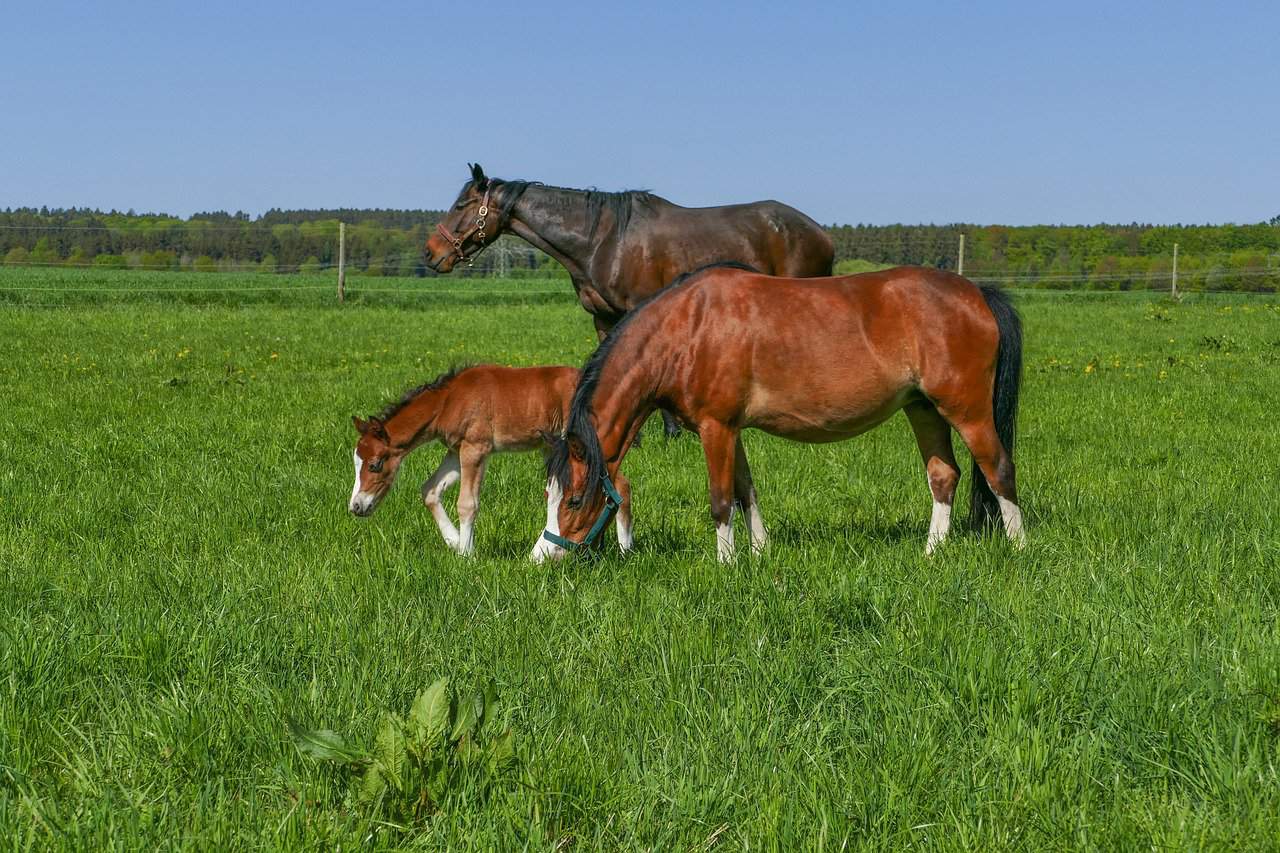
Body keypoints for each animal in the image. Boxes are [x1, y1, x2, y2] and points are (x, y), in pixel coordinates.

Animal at [349, 364, 633, 557]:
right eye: (356, 463)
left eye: (375, 464)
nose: (356, 507)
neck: (449, 400)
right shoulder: (457, 450)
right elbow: (430, 490)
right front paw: (455, 542)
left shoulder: (476, 448)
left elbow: (467, 504)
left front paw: (466, 556)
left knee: (620, 484)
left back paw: (624, 550)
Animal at [423, 163, 835, 435]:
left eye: (461, 205)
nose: (430, 253)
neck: (602, 240)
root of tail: (820, 233)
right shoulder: (603, 318)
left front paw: (670, 431)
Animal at [530, 263, 1025, 563]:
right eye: (549, 496)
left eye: (573, 500)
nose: (542, 557)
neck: (687, 327)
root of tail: (976, 292)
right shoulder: (731, 430)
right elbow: (746, 491)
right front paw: (759, 552)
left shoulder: (715, 427)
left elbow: (720, 499)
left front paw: (725, 563)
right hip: (923, 409)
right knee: (944, 476)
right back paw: (931, 553)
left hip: (966, 410)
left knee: (998, 469)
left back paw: (1020, 549)